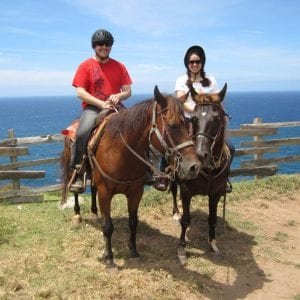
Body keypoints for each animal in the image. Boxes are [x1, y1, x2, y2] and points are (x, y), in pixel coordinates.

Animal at [61, 86, 200, 268]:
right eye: (173, 125)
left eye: (188, 124)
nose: (194, 167)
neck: (120, 152)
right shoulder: (105, 193)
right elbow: (108, 227)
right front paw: (110, 259)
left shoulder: (135, 192)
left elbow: (133, 222)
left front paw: (133, 251)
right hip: (74, 170)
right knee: (76, 190)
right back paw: (78, 214)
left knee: (92, 188)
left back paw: (94, 212)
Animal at [169, 82, 232, 264]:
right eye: (194, 119)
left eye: (216, 118)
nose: (200, 154)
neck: (209, 168)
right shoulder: (186, 192)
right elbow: (185, 220)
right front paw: (182, 249)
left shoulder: (216, 194)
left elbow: (212, 219)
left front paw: (213, 243)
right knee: (173, 191)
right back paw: (176, 212)